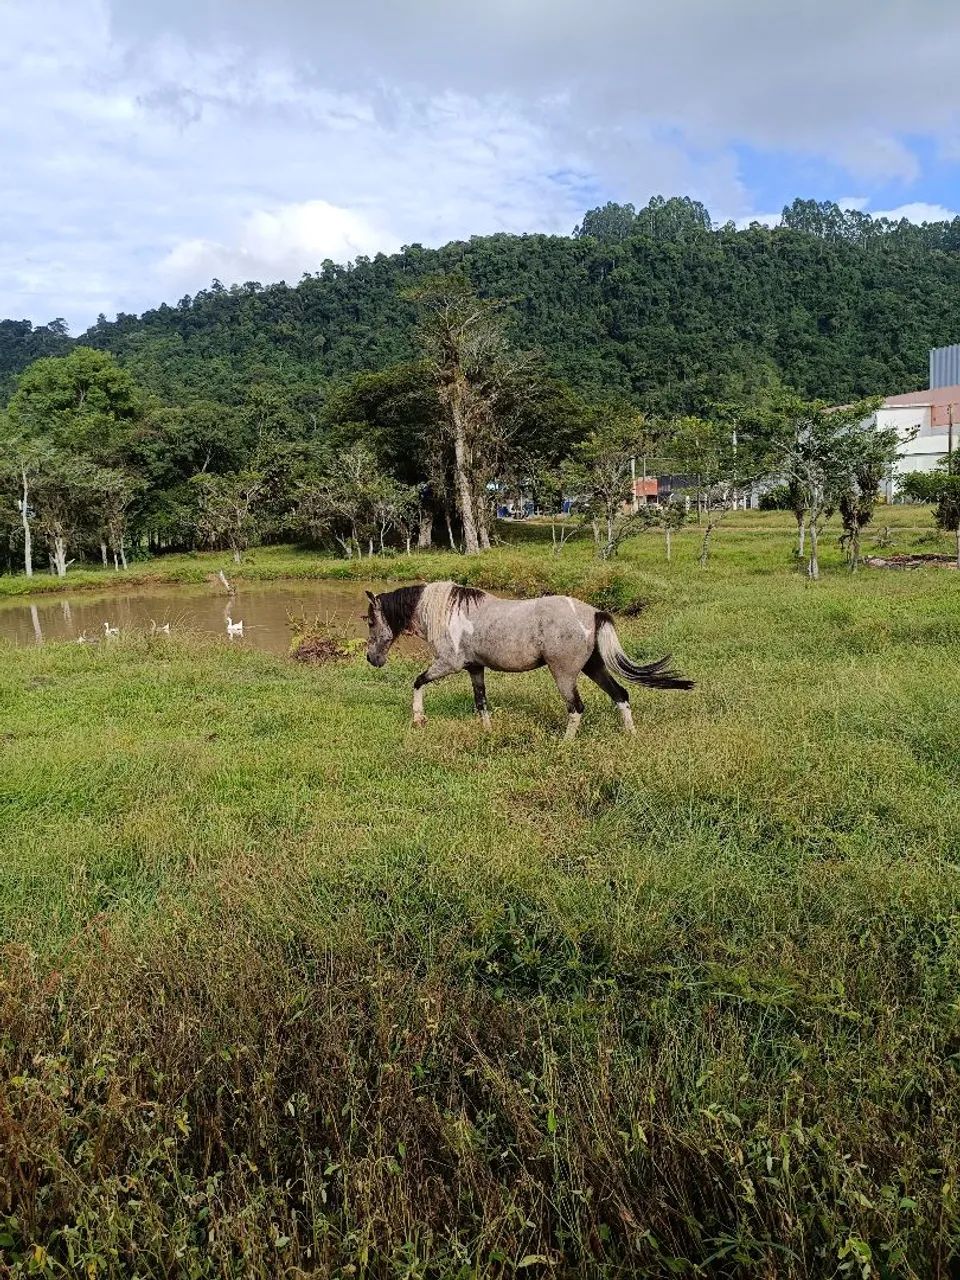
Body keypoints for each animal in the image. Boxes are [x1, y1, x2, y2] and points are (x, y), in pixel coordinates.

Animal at [364, 581, 693, 739]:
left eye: (369, 621)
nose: (371, 658)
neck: (445, 611)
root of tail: (593, 613)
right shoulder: (474, 668)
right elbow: (481, 703)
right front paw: (488, 733)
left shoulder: (448, 664)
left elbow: (417, 682)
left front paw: (418, 719)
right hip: (593, 667)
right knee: (620, 695)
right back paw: (631, 736)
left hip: (565, 674)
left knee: (576, 708)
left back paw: (564, 745)